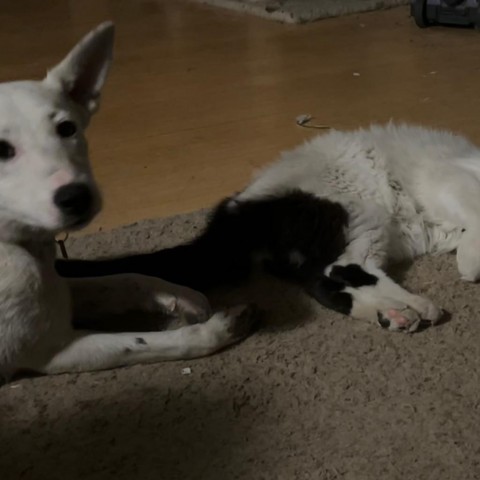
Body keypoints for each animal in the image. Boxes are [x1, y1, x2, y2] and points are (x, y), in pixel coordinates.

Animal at [0, 22, 255, 382]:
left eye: (67, 128)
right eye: (1, 149)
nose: (77, 197)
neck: (14, 242)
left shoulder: (60, 293)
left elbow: (121, 279)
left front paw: (177, 294)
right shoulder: (52, 352)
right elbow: (144, 344)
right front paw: (215, 330)